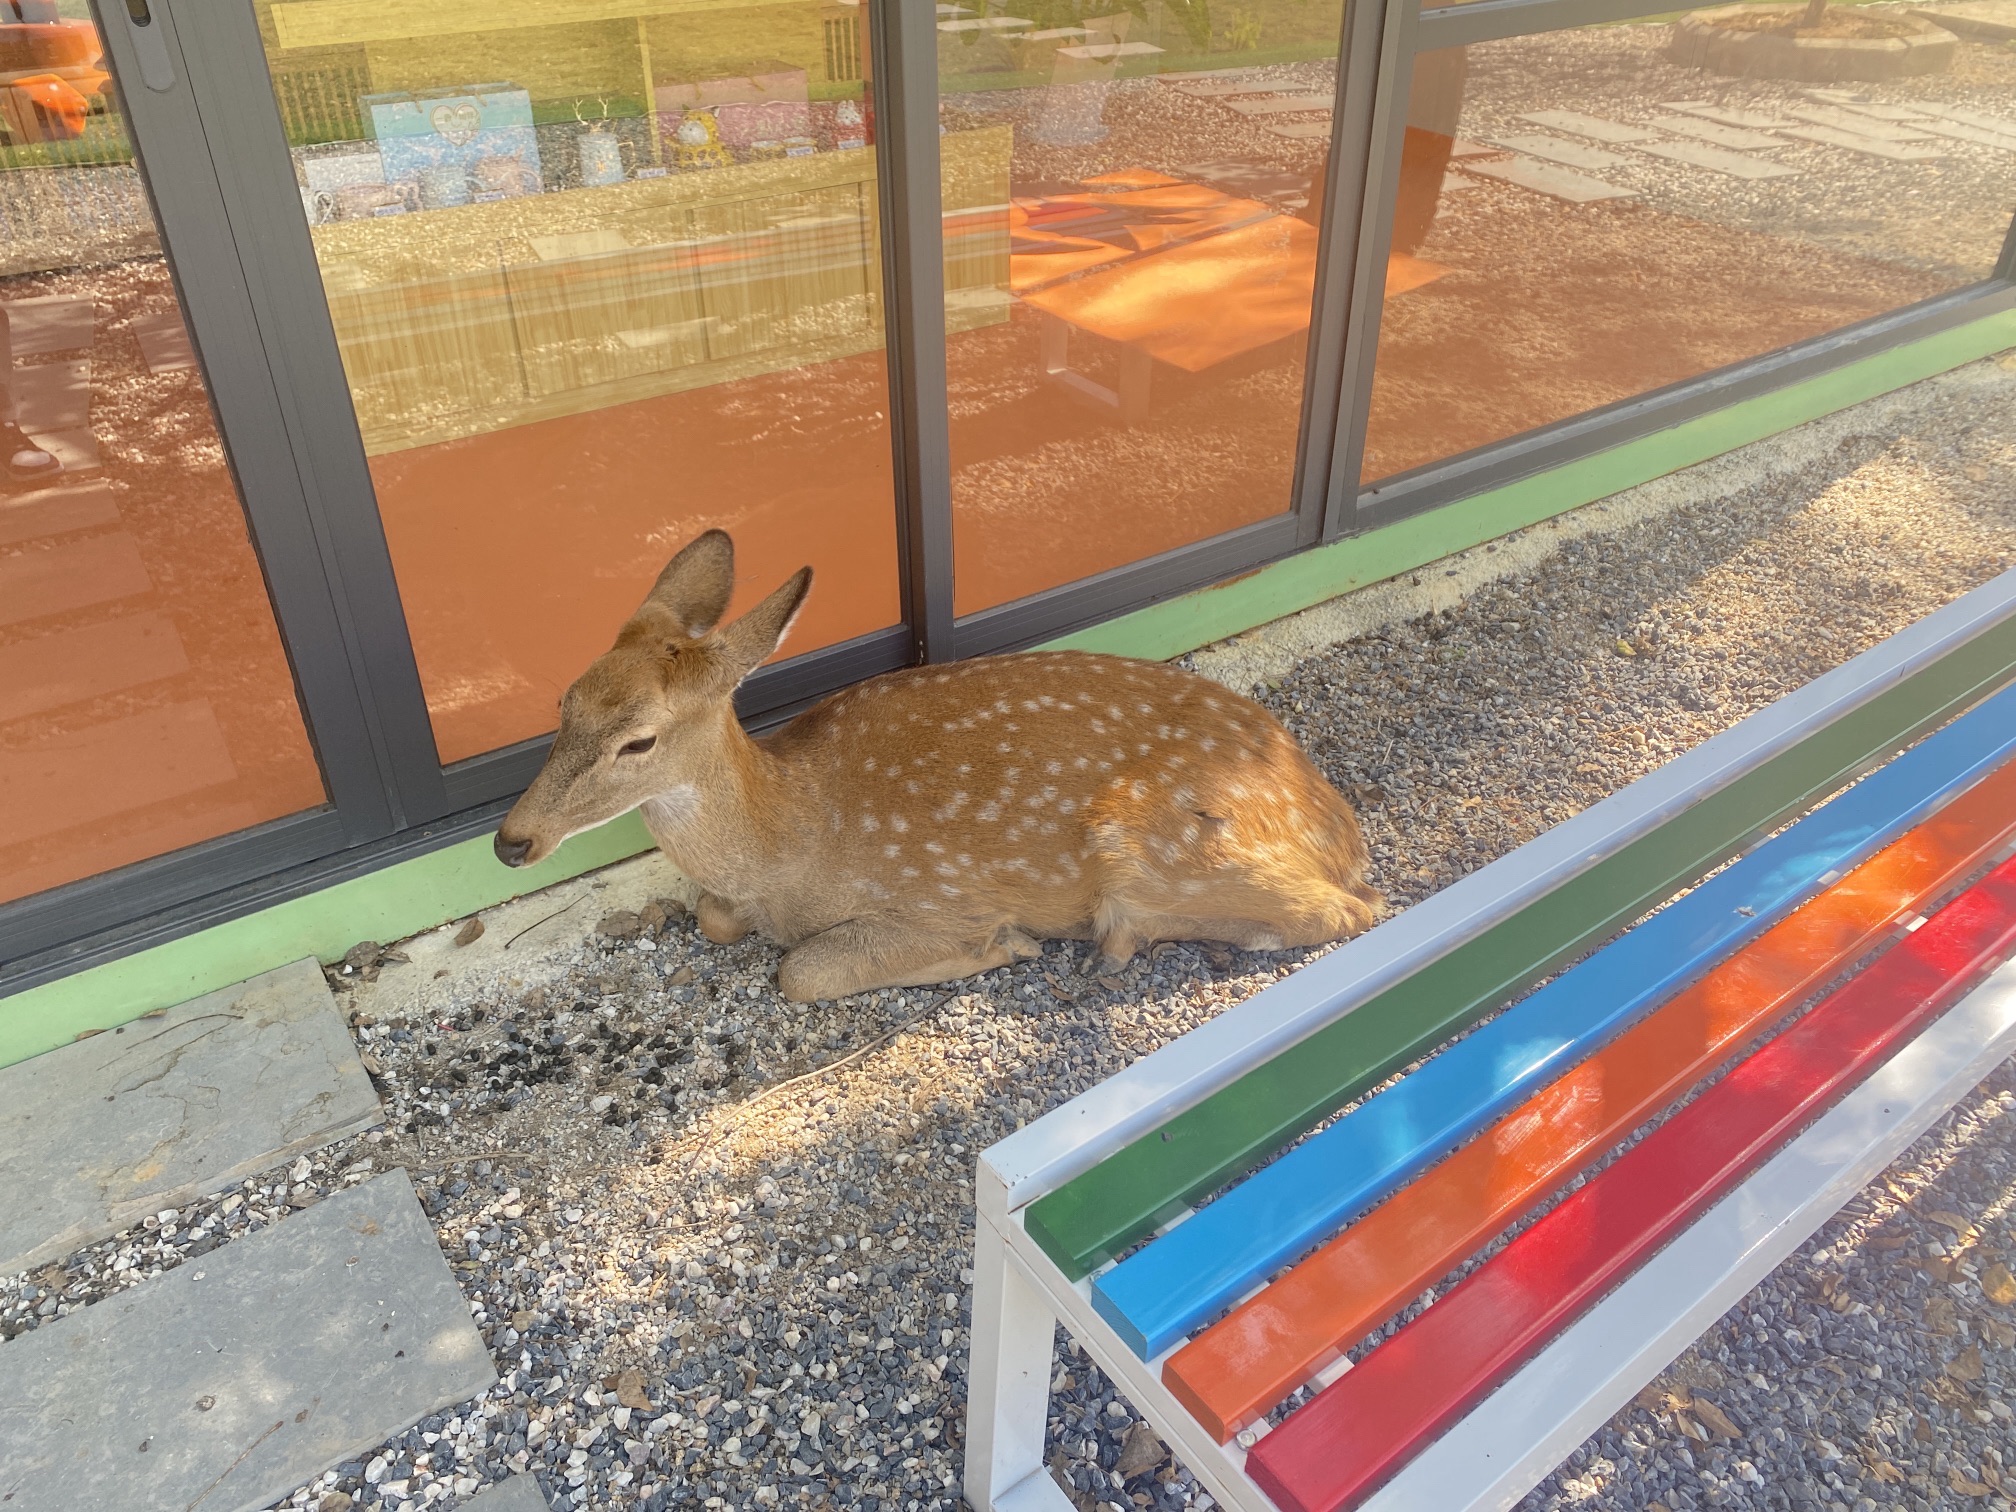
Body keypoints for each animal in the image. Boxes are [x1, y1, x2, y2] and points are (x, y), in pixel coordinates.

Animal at [494, 530, 1382, 1002]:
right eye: (565, 701)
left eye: (639, 740)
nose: (510, 840)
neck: (791, 843)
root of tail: (1340, 832)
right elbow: (714, 918)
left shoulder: (933, 895)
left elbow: (801, 970)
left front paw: (1002, 947)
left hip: (1149, 845)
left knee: (1345, 911)